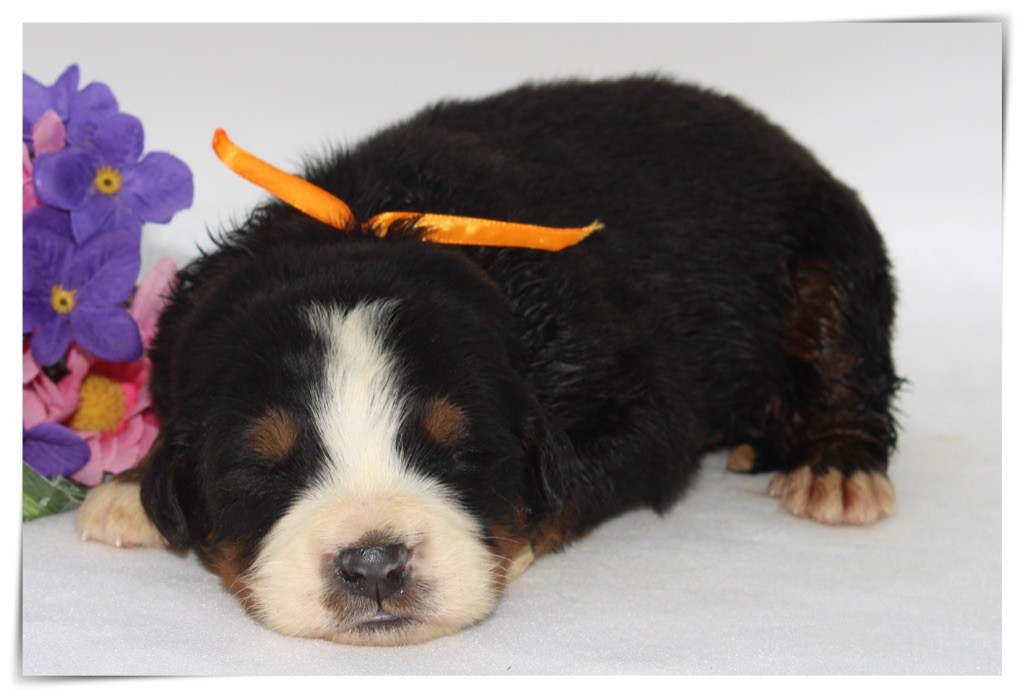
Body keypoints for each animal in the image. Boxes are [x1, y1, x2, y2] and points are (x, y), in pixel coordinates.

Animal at [76, 76, 901, 646]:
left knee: (844, 352)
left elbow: (579, 478)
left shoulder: (642, 392)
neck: (365, 232)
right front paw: (130, 487)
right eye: (261, 466)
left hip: (830, 254)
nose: (373, 565)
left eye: (463, 452)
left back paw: (837, 467)